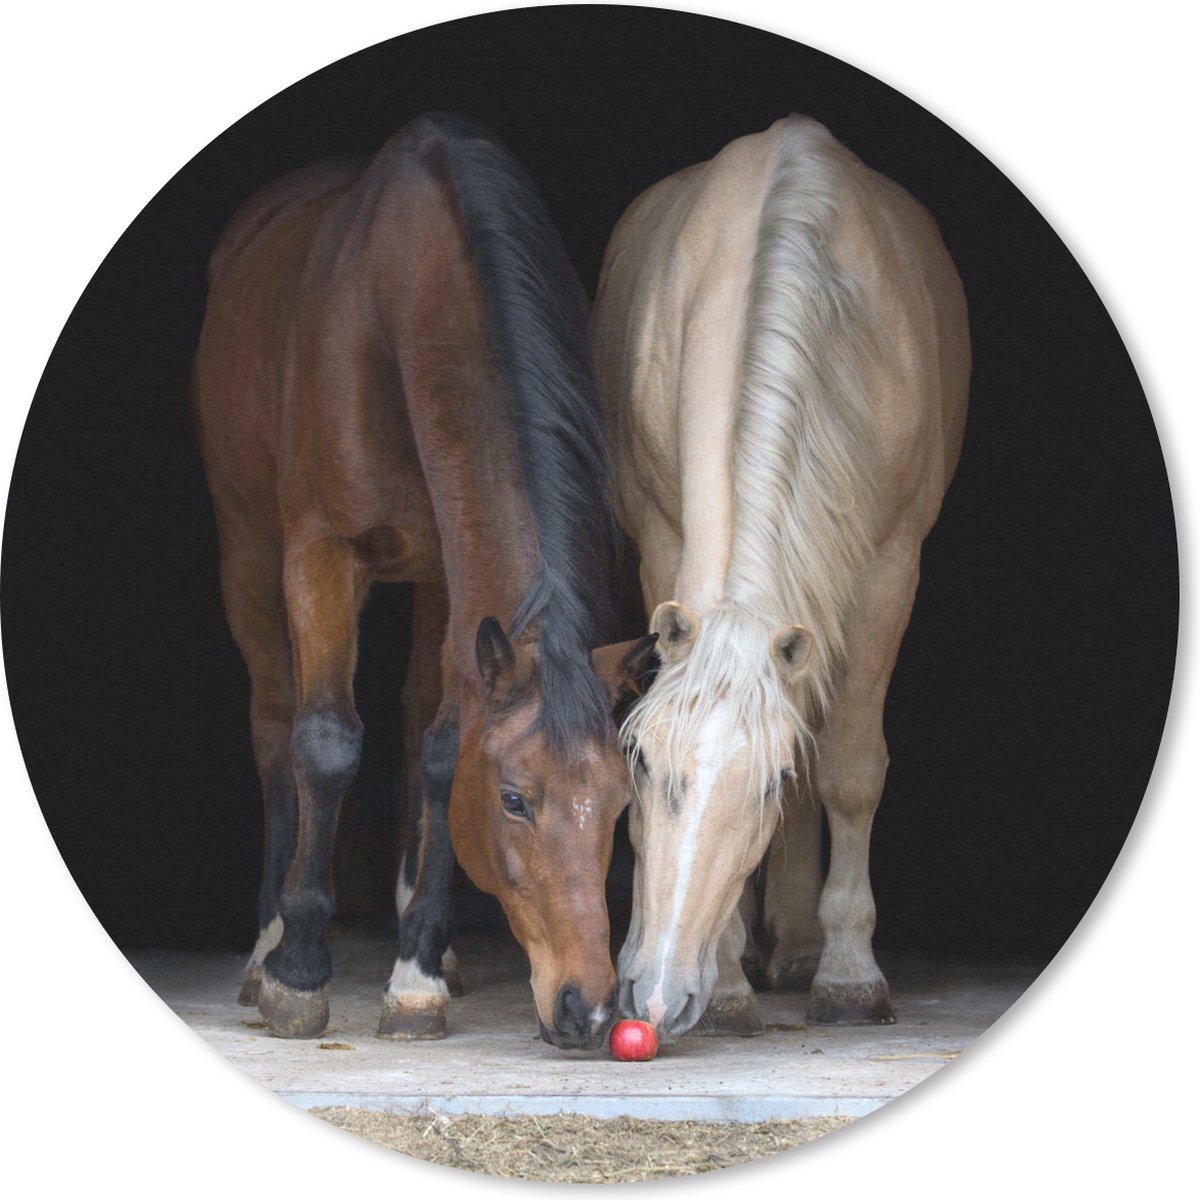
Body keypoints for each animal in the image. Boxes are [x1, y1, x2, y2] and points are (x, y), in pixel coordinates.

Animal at [192, 113, 657, 1049]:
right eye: (514, 800)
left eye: (620, 803)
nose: (589, 1009)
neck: (400, 312)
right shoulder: (320, 551)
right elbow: (325, 740)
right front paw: (299, 969)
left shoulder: (454, 574)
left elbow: (442, 752)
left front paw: (416, 973)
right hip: (247, 548)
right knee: (274, 723)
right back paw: (266, 943)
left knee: (412, 724)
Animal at [591, 115, 970, 1041]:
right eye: (642, 763)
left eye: (766, 782)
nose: (656, 995)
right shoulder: (663, 542)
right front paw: (728, 982)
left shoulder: (888, 570)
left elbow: (848, 770)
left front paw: (849, 974)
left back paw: (799, 951)